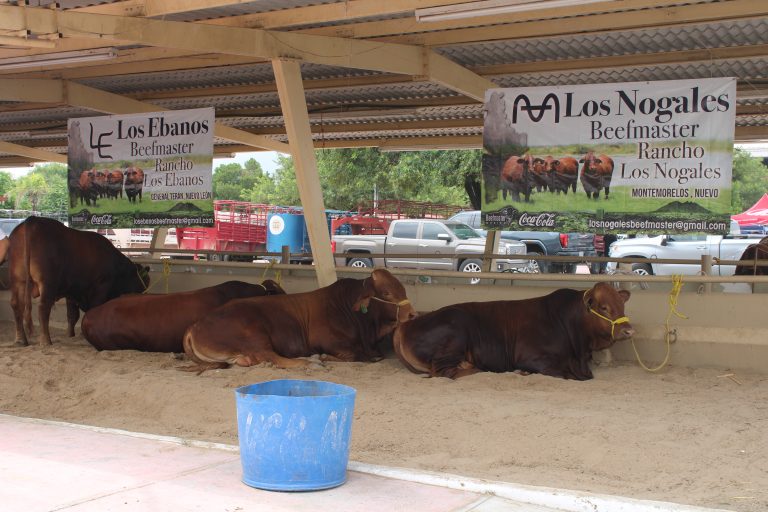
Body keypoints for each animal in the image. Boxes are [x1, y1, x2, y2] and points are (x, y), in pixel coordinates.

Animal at [7, 214, 150, 346]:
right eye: (143, 282)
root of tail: (33, 220)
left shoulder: (71, 291)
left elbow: (72, 315)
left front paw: (71, 335)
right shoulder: (100, 286)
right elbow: (92, 309)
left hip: (18, 280)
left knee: (16, 305)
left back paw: (20, 339)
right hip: (47, 283)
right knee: (43, 307)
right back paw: (46, 340)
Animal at [183, 268, 416, 372]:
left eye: (403, 289)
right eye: (386, 293)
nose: (412, 314)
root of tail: (195, 326)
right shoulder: (332, 343)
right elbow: (356, 356)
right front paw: (323, 357)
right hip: (254, 335)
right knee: (272, 357)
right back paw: (309, 362)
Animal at [392, 282, 632, 382]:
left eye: (622, 304)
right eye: (604, 307)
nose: (629, 330)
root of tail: (405, 325)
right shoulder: (532, 357)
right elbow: (563, 374)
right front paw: (521, 372)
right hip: (454, 336)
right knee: (445, 373)